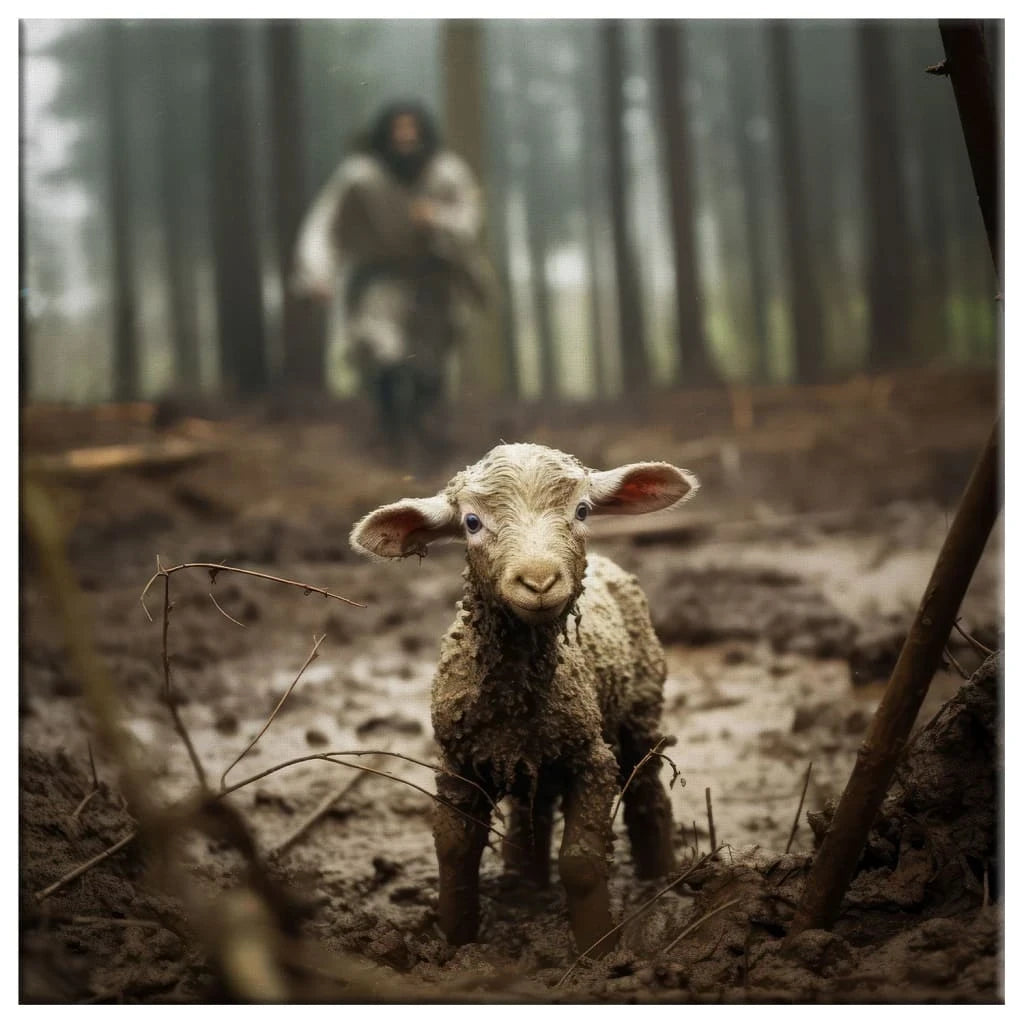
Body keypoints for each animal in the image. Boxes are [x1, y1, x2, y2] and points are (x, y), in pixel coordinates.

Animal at [350, 443, 698, 956]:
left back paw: (660, 877)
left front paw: (597, 949)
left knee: (647, 789)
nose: (538, 582)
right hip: (533, 755)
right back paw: (525, 881)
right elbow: (453, 850)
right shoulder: (458, 761)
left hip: (640, 708)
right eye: (472, 522)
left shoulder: (591, 757)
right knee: (532, 809)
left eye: (582, 510)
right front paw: (455, 941)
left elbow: (580, 861)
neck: (515, 698)